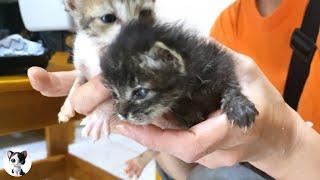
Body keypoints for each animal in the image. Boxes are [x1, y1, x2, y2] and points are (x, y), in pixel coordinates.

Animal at [59, 0, 156, 139]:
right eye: (108, 18)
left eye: (145, 13)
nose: (138, 37)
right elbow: (77, 82)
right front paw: (66, 106)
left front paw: (98, 118)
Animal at [101, 20, 258, 129]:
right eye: (114, 94)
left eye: (140, 93)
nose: (121, 114)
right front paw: (188, 112)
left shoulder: (221, 62)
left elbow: (231, 86)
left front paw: (239, 107)